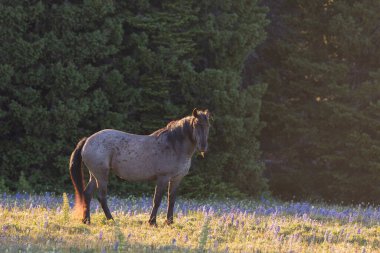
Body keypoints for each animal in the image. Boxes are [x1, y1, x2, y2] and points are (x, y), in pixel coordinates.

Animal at [69, 108, 211, 225]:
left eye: (208, 126)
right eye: (196, 125)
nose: (203, 147)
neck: (174, 145)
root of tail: (88, 140)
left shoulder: (177, 178)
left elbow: (172, 199)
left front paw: (169, 222)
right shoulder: (163, 178)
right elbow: (157, 199)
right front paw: (152, 222)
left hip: (95, 175)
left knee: (87, 194)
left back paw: (86, 220)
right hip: (102, 176)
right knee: (101, 196)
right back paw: (111, 220)